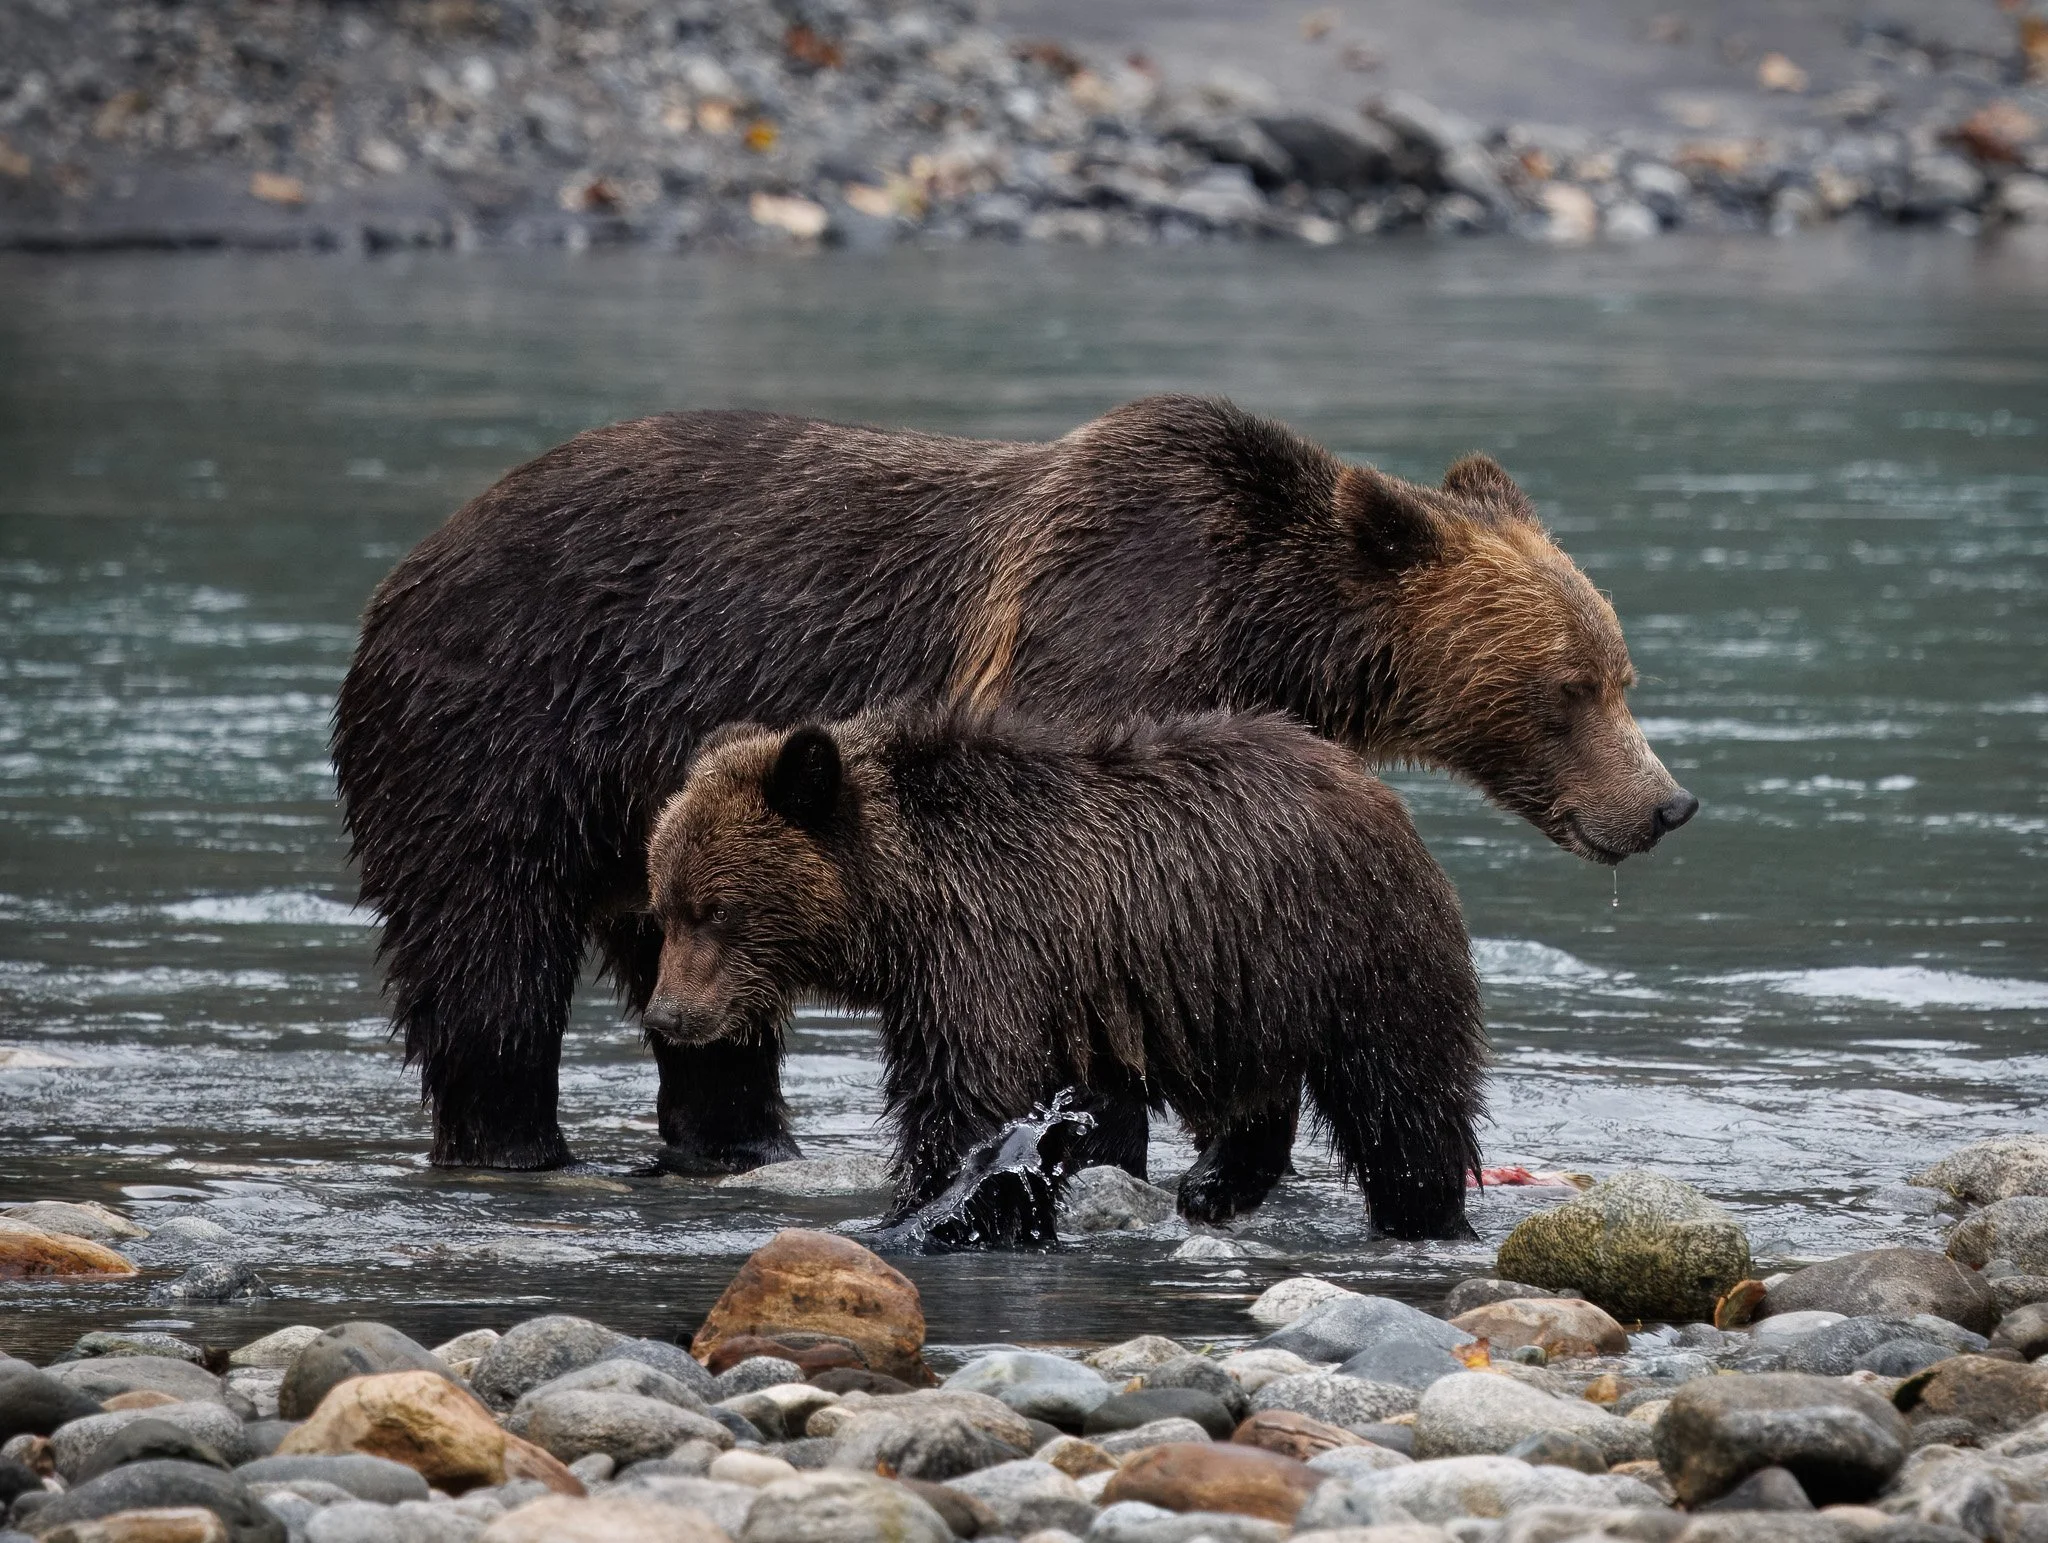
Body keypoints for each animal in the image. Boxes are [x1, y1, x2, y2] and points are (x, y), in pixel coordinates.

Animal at [332, 394, 1696, 1172]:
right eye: (1569, 686)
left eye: (1621, 672)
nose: (1662, 805)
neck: (1262, 629)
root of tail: (411, 562)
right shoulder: (1091, 651)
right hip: (504, 730)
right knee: (486, 960)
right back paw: (514, 1138)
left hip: (659, 830)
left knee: (704, 992)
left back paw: (737, 1134)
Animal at [643, 705, 1488, 1242]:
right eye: (664, 904)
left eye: (715, 908)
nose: (668, 1016)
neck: (898, 911)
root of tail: (1373, 787)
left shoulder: (987, 952)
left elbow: (964, 1098)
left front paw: (926, 1208)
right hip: (1244, 986)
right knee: (1261, 1090)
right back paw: (1214, 1183)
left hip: (1351, 946)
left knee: (1401, 1092)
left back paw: (1427, 1211)